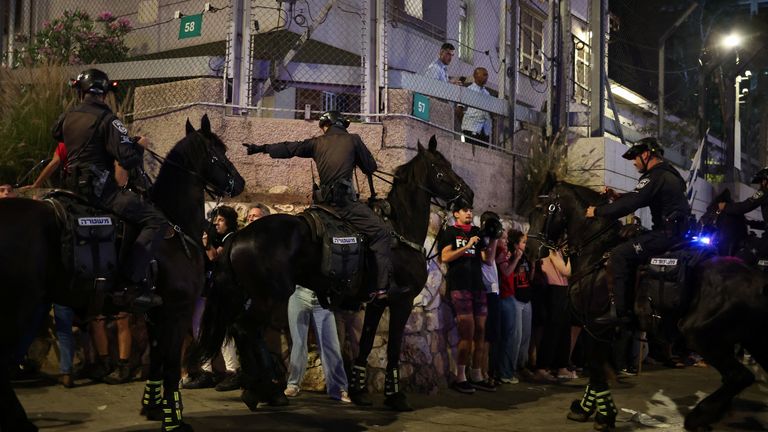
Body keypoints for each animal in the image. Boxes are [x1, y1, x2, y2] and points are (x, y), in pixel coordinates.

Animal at [0, 115, 244, 432]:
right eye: (220, 151)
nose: (240, 182)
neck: (173, 222)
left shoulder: (155, 312)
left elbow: (156, 359)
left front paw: (154, 408)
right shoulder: (176, 309)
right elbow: (169, 365)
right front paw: (174, 420)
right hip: (20, 308)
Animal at [196, 135, 474, 412]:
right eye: (442, 168)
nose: (468, 195)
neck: (399, 231)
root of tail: (239, 235)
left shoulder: (377, 303)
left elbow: (367, 343)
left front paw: (359, 390)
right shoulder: (401, 301)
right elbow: (393, 348)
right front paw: (395, 396)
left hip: (247, 295)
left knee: (239, 329)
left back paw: (262, 389)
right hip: (269, 297)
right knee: (245, 328)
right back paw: (263, 389)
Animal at [528, 178, 768, 428]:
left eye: (544, 210)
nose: (531, 252)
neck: (597, 252)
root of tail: (758, 280)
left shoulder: (595, 325)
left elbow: (596, 368)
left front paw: (604, 415)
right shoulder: (597, 329)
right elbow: (598, 368)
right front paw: (588, 409)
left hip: (702, 337)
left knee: (739, 376)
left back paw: (700, 415)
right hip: (753, 339)